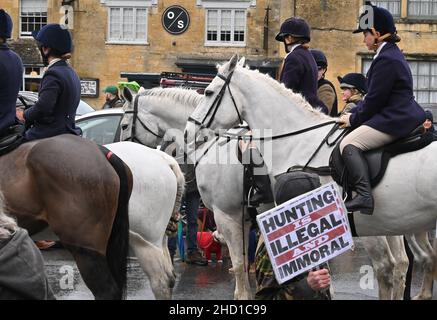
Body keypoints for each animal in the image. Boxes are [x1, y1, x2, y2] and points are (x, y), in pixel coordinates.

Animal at [184, 54, 436, 298]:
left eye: (208, 92)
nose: (189, 132)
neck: (295, 139)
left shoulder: (229, 215)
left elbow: (241, 268)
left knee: (388, 268)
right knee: (400, 265)